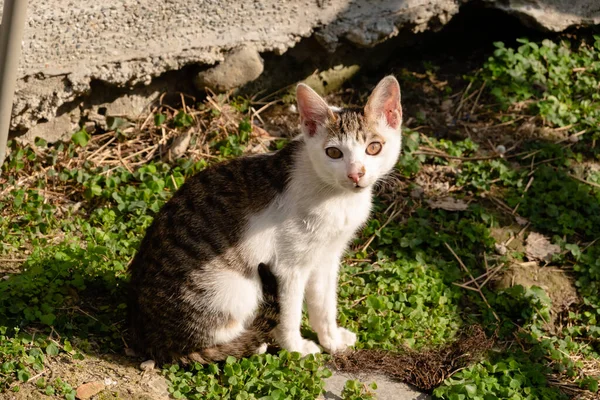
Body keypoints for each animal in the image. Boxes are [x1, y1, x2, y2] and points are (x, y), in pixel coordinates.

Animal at [126, 76, 404, 366]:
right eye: (334, 153)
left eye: (374, 148)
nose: (355, 174)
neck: (336, 197)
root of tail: (151, 338)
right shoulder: (287, 267)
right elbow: (289, 314)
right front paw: (296, 349)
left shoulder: (327, 258)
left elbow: (324, 304)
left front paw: (332, 340)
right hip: (237, 287)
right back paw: (250, 344)